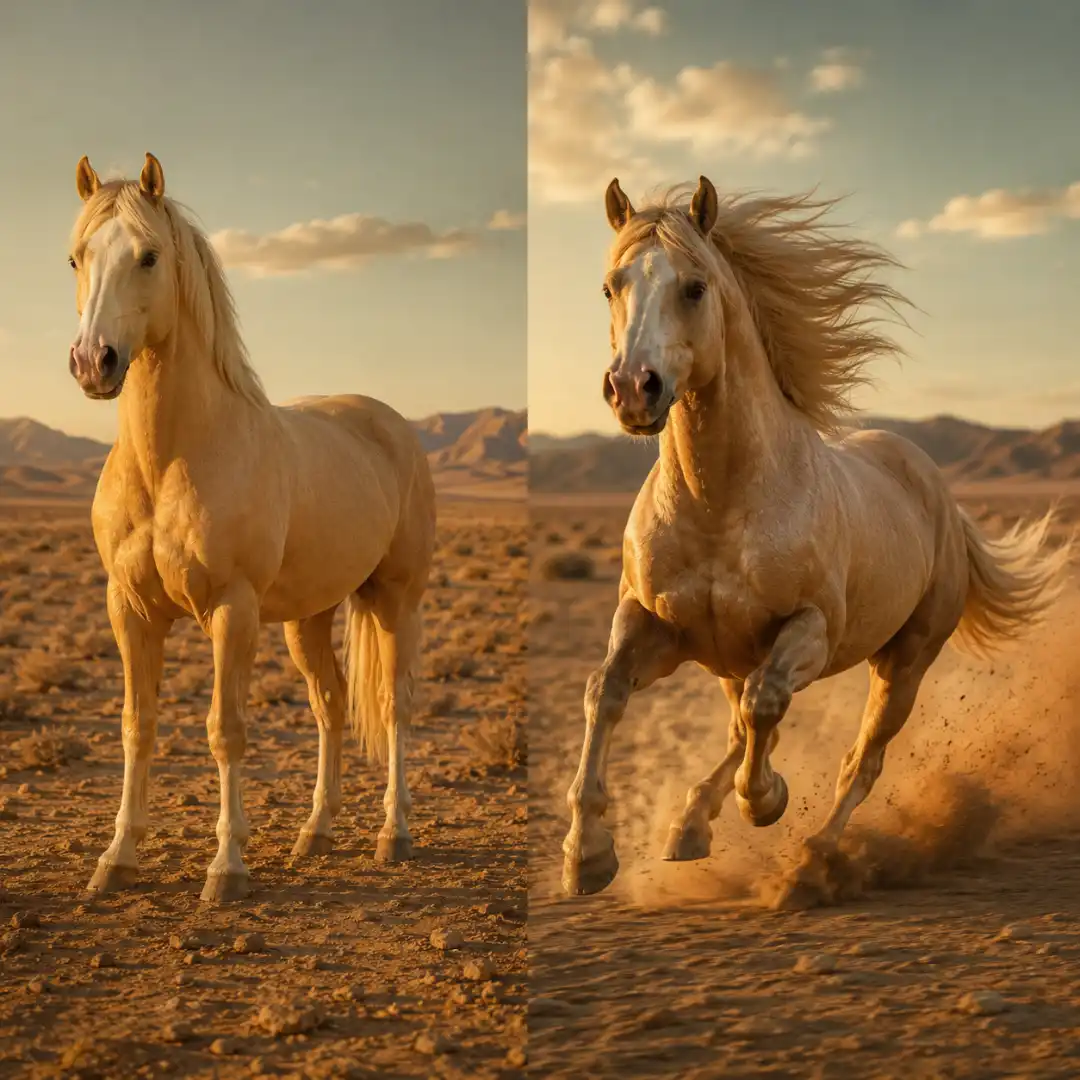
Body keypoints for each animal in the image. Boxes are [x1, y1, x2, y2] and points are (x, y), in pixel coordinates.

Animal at [67, 153, 436, 903]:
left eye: (148, 256)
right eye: (76, 258)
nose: (94, 362)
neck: (173, 457)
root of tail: (391, 425)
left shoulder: (230, 610)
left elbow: (226, 730)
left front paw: (227, 866)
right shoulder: (129, 610)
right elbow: (136, 727)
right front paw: (116, 859)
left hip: (396, 602)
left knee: (393, 706)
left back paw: (394, 834)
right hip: (308, 617)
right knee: (330, 706)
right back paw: (316, 832)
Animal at [561, 174, 1070, 907]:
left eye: (694, 286)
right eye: (611, 286)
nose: (633, 389)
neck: (720, 504)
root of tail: (938, 493)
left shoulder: (809, 631)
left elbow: (767, 706)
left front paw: (766, 800)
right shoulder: (655, 624)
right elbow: (604, 693)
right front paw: (587, 856)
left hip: (905, 661)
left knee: (860, 761)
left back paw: (810, 861)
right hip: (729, 658)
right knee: (740, 725)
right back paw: (690, 827)